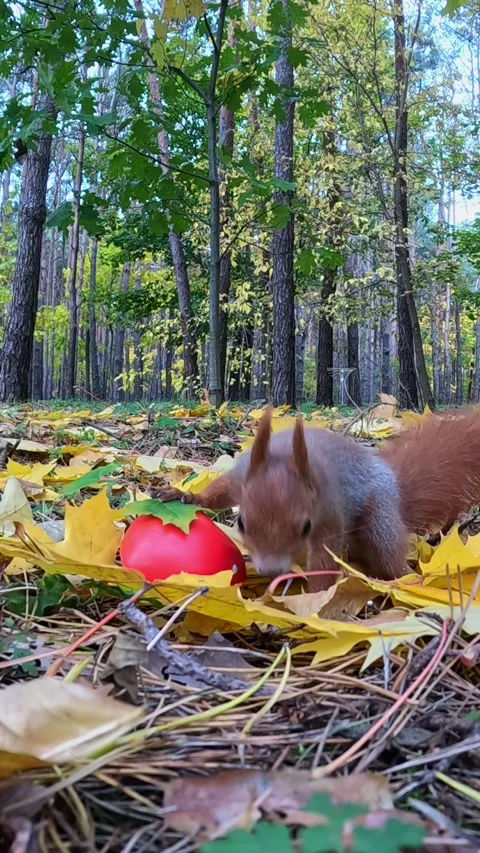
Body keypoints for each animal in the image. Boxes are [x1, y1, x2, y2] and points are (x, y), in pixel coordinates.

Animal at [157, 406, 480, 590]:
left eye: (306, 527)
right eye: (241, 523)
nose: (271, 571)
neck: (285, 456)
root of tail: (394, 483)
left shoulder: (329, 513)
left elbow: (325, 558)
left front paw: (313, 605)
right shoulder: (240, 477)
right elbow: (218, 493)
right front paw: (184, 494)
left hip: (380, 516)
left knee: (388, 554)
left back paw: (407, 582)